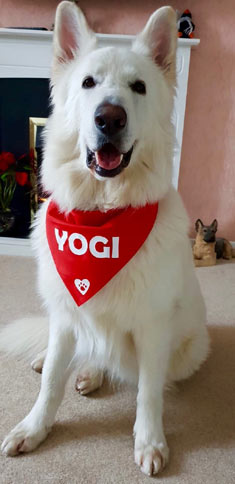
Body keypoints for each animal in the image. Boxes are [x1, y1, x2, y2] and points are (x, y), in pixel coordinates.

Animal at [0, 0, 209, 476]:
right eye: (88, 83)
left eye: (139, 87)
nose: (109, 118)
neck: (101, 214)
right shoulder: (65, 310)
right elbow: (52, 382)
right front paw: (34, 427)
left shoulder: (153, 327)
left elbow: (147, 391)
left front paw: (149, 441)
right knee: (86, 353)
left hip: (188, 348)